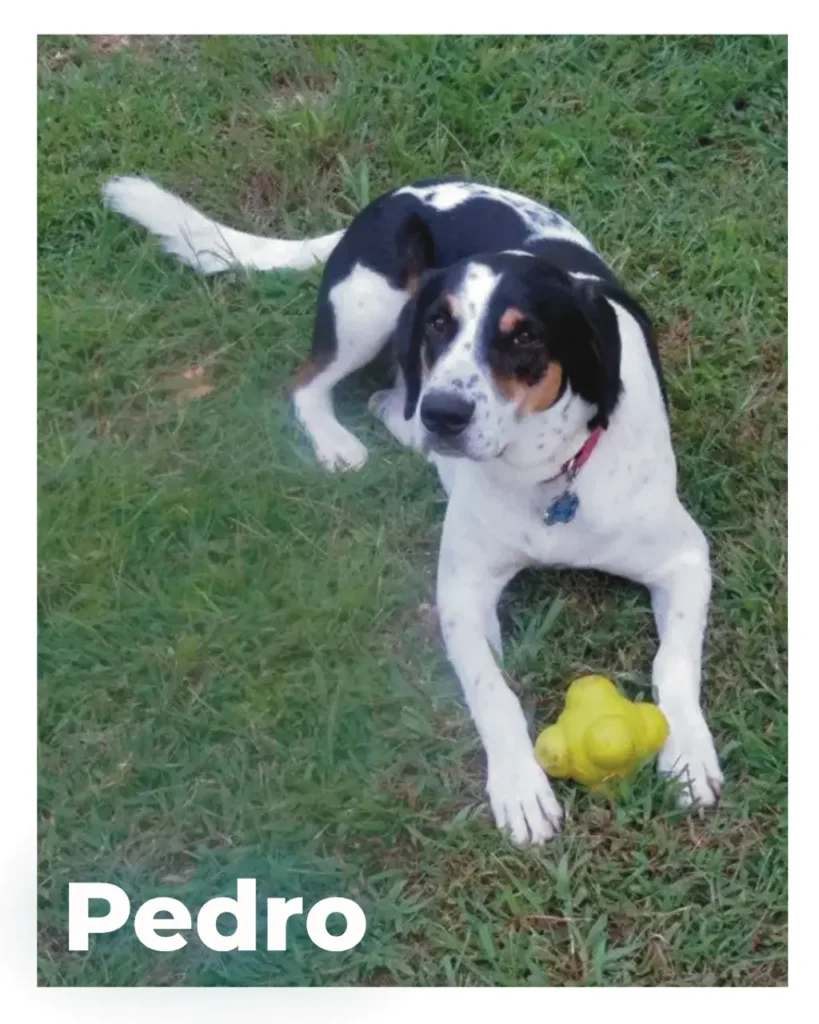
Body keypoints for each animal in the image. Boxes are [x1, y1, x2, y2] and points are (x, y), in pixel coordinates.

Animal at [103, 178, 724, 847]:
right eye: (439, 324)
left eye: (525, 336)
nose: (445, 414)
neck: (544, 477)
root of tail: (395, 195)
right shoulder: (460, 589)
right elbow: (491, 689)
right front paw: (519, 785)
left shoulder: (685, 559)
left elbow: (673, 663)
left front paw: (688, 754)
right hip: (369, 311)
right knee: (317, 386)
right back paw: (339, 443)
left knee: (387, 398)